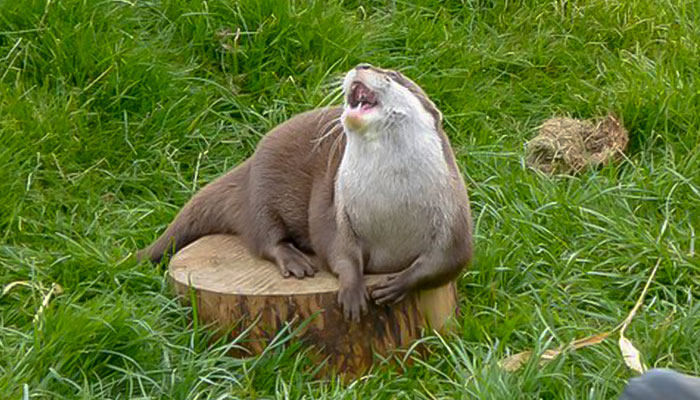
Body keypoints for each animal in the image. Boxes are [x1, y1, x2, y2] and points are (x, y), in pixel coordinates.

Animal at [138, 64, 470, 324]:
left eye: (393, 75)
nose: (361, 65)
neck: (389, 202)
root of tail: (249, 162)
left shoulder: (455, 217)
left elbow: (449, 261)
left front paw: (398, 284)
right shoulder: (336, 209)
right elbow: (337, 251)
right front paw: (352, 291)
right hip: (260, 189)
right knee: (263, 236)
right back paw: (295, 260)